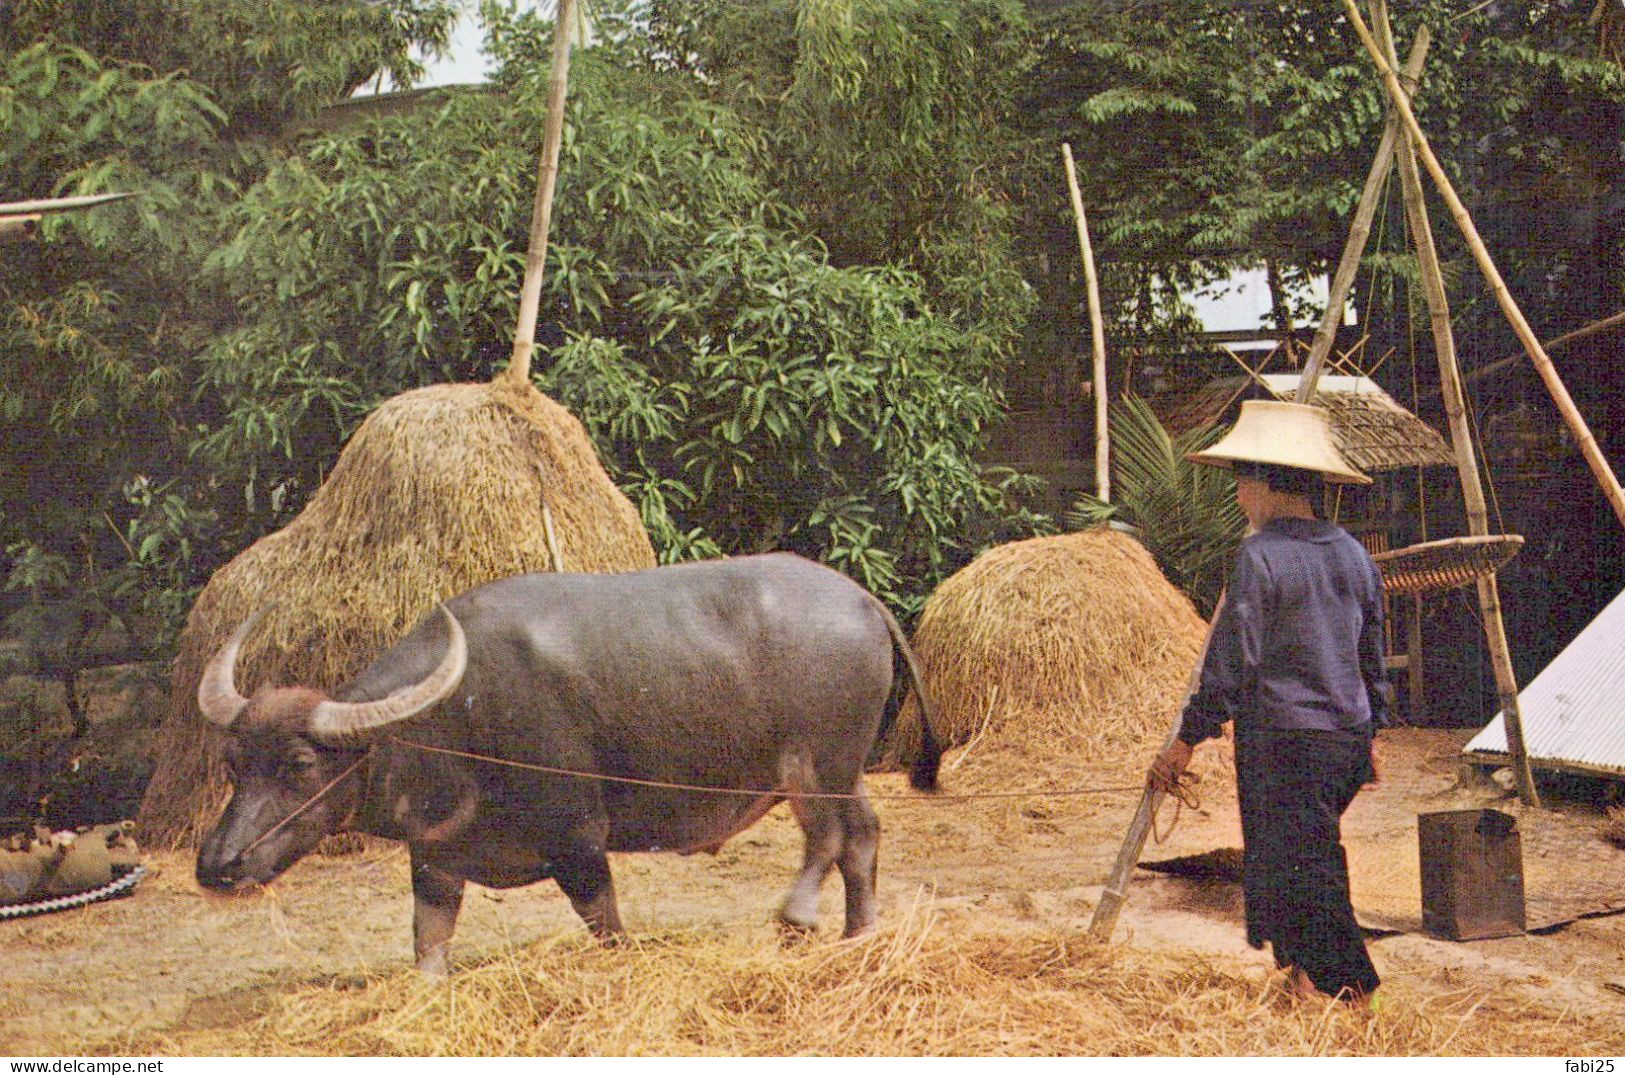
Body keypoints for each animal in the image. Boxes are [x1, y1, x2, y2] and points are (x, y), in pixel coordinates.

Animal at [193, 555, 942, 974]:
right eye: (233, 762)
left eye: (299, 763)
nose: (218, 865)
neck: (457, 721)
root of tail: (863, 601)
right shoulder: (436, 861)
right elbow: (428, 949)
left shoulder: (578, 841)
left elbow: (605, 926)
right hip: (844, 769)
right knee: (863, 835)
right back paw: (860, 934)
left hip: (813, 764)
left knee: (830, 835)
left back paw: (798, 914)